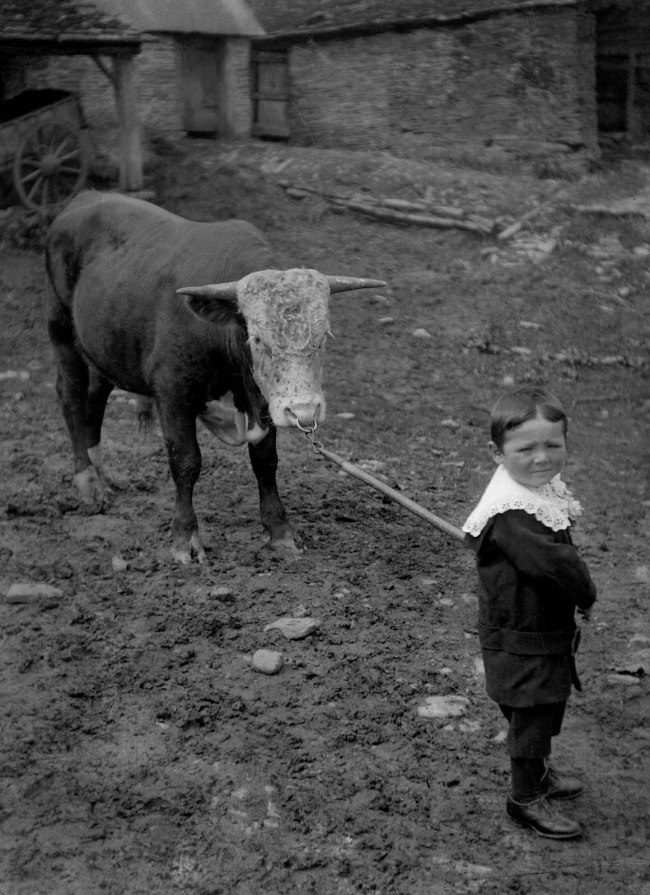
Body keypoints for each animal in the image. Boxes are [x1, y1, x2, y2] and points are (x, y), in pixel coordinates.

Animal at [45, 191, 385, 563]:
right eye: (257, 339)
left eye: (323, 336)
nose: (304, 411)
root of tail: (86, 197)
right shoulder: (172, 393)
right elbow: (186, 462)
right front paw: (185, 539)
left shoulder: (262, 401)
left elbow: (265, 461)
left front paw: (280, 531)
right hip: (62, 328)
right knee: (72, 397)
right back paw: (87, 481)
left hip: (102, 347)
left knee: (95, 398)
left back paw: (102, 474)